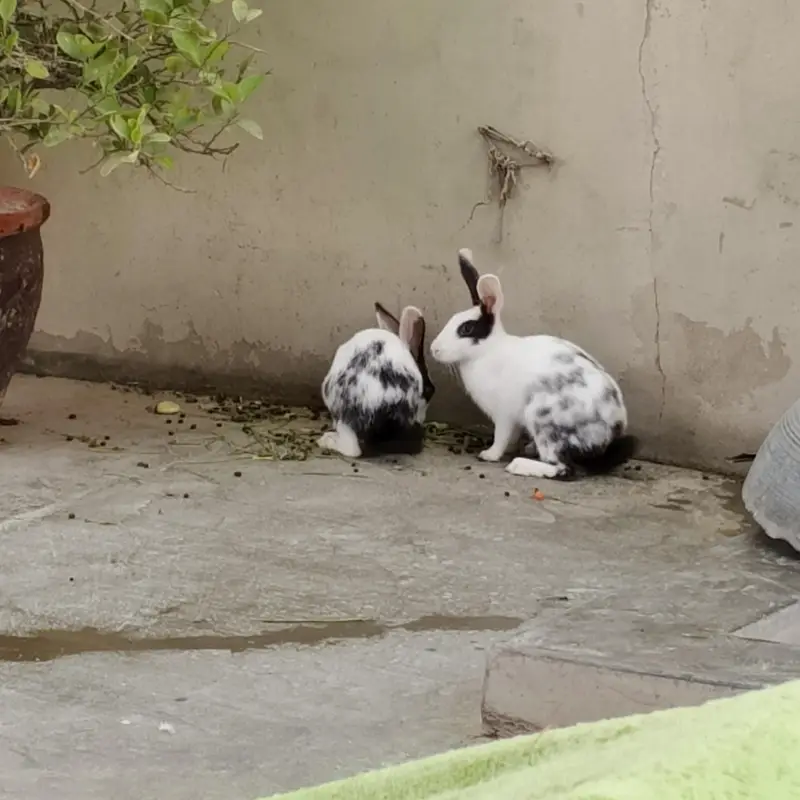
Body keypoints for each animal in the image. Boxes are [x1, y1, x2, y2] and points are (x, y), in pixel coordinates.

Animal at [429, 248, 637, 480]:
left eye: (466, 329)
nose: (434, 349)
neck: (487, 352)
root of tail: (608, 437)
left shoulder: (504, 415)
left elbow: (501, 436)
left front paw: (489, 455)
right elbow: (510, 438)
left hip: (543, 421)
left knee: (565, 469)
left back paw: (518, 465)